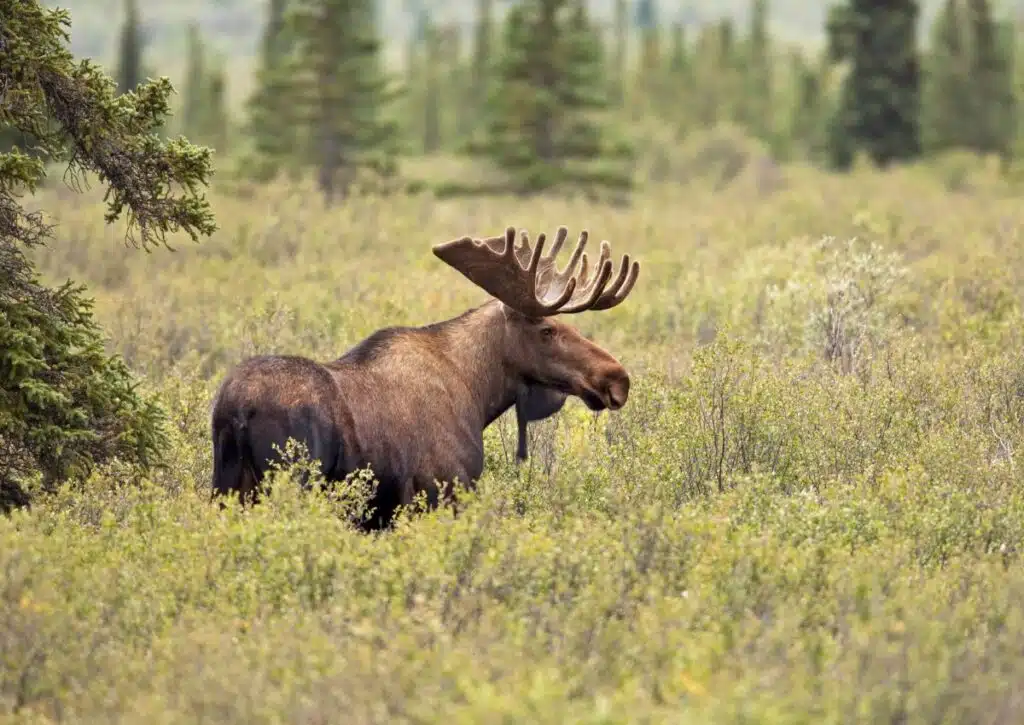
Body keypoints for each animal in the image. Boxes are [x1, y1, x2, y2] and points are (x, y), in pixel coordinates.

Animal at [207, 223, 638, 528]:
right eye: (547, 330)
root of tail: (236, 410)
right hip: (291, 482)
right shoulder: (443, 490)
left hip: (226, 486)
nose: (617, 378)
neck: (478, 393)